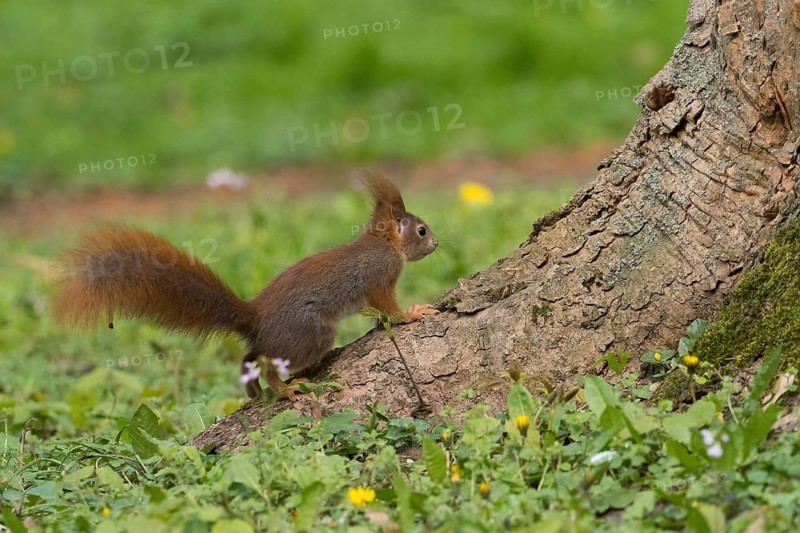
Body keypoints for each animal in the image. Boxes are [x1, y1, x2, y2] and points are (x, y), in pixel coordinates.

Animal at [52, 172, 439, 400]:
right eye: (421, 230)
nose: (436, 243)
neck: (384, 244)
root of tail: (254, 318)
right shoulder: (379, 277)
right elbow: (389, 307)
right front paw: (412, 313)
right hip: (309, 331)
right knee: (267, 362)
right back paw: (285, 389)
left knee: (250, 357)